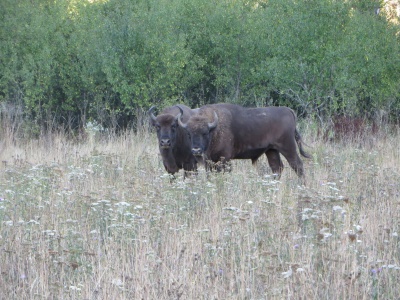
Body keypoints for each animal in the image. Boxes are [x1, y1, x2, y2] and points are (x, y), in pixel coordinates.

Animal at [178, 103, 312, 179]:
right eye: (189, 134)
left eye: (205, 133)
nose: (196, 150)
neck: (215, 128)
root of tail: (288, 111)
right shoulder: (209, 162)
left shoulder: (225, 159)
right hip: (272, 150)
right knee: (277, 167)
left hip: (287, 147)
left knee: (297, 165)